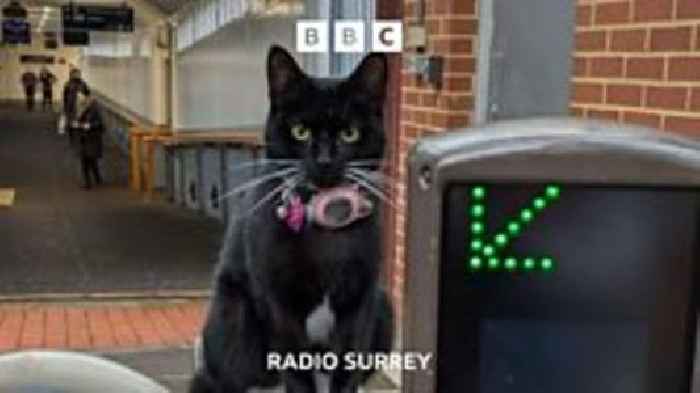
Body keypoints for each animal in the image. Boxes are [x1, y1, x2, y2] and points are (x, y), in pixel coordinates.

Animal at [190, 44, 394, 390]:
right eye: (300, 131)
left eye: (350, 133)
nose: (324, 161)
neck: (326, 227)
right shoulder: (278, 305)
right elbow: (296, 370)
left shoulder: (361, 302)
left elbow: (348, 365)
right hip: (233, 318)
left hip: (385, 306)